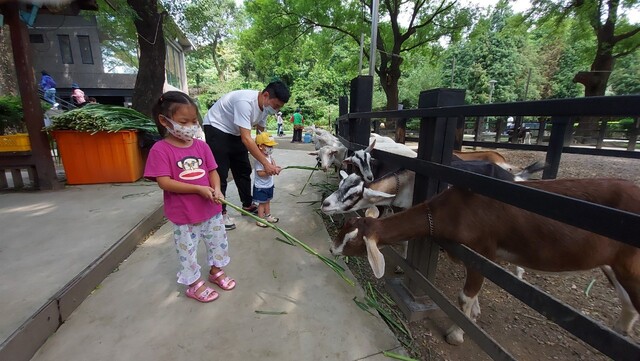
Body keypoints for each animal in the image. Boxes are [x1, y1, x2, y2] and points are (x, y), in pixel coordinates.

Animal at [330, 179, 640, 344]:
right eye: (344, 227)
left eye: (353, 241)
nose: (332, 250)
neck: (448, 212)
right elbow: (473, 297)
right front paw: (475, 315)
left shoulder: (482, 253)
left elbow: (464, 296)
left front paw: (457, 333)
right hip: (615, 264)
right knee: (628, 303)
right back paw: (621, 331)